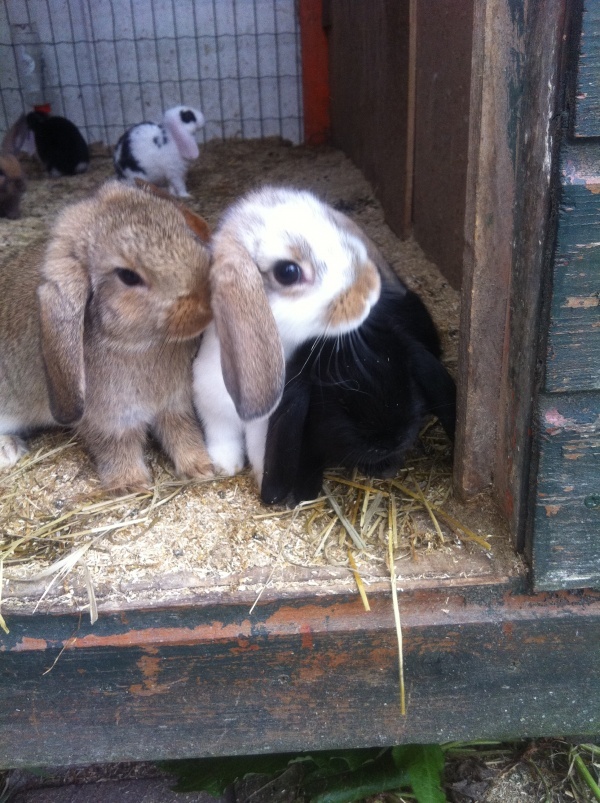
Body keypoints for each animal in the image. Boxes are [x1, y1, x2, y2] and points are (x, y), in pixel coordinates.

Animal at [0, 179, 284, 492]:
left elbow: (182, 433)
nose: (205, 300)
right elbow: (118, 447)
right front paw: (131, 484)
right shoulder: (109, 421)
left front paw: (200, 468)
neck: (142, 344)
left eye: (183, 229)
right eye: (128, 276)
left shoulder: (175, 405)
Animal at [193, 185, 383, 482]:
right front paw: (225, 466)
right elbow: (223, 439)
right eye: (288, 272)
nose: (371, 288)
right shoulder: (212, 410)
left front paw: (263, 478)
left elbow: (261, 453)